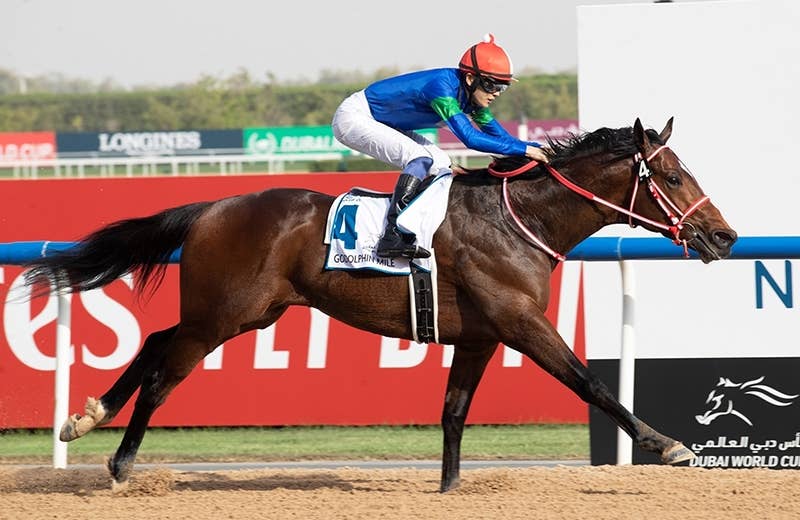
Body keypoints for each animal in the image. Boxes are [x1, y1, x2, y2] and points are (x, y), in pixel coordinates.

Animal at [23, 117, 737, 492]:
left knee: (154, 341)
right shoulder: (521, 323)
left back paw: (83, 417)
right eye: (674, 176)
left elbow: (453, 412)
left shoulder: (480, 336)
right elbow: (592, 383)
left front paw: (448, 488)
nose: (725, 236)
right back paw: (120, 462)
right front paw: (668, 445)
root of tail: (210, 206)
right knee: (164, 374)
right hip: (222, 317)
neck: (519, 220)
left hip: (245, 312)